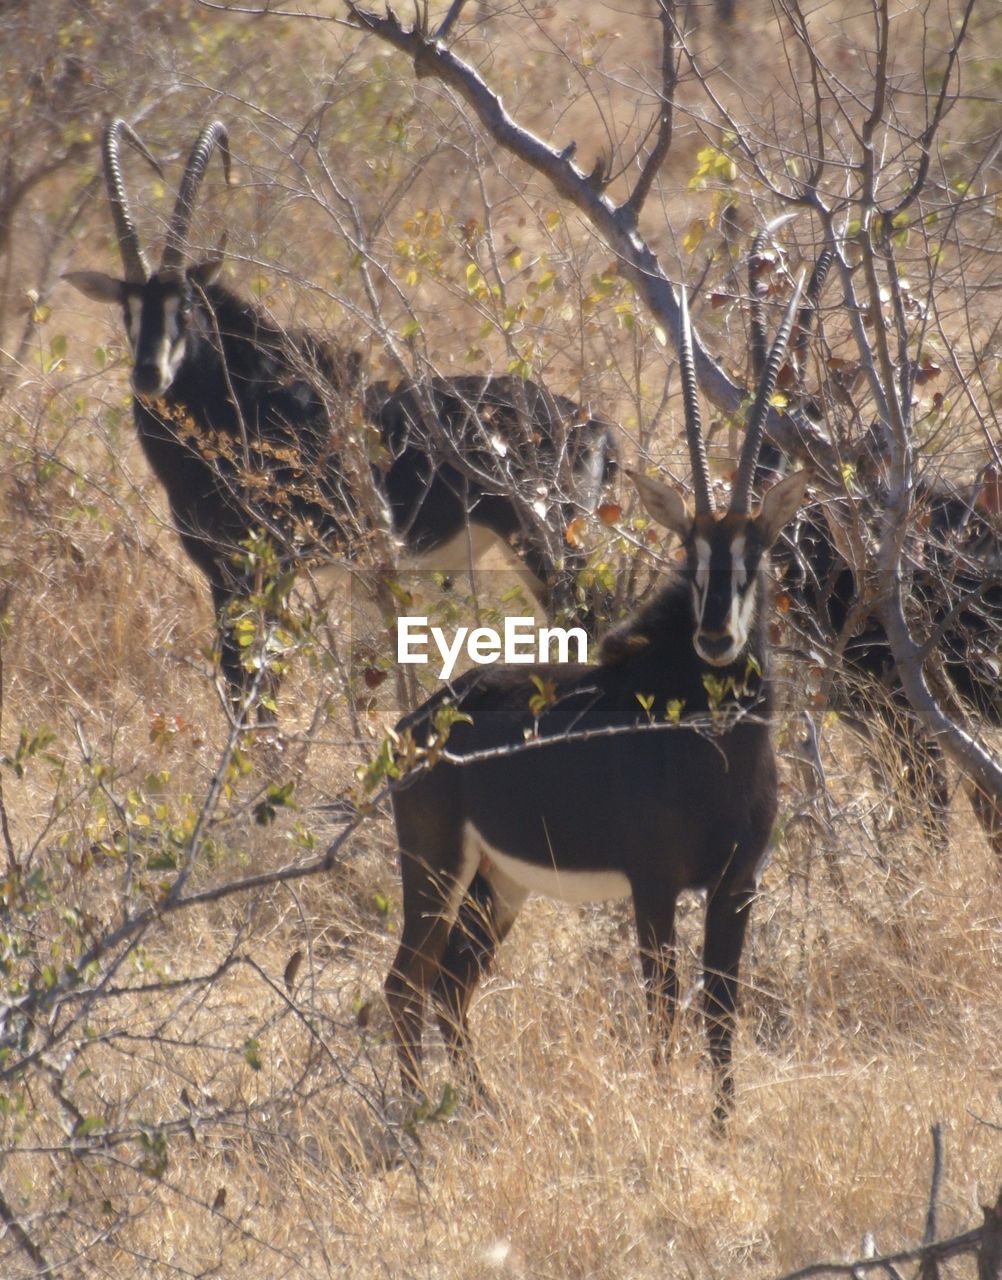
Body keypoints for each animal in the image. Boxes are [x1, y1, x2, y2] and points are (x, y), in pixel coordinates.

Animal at [64, 117, 619, 721]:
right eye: (128, 310)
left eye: (185, 307)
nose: (148, 376)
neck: (240, 402)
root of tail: (587, 424)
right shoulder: (223, 575)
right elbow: (239, 685)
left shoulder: (271, 566)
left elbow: (257, 686)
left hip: (546, 537)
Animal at [381, 280, 808, 1121]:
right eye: (691, 552)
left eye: (758, 551)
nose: (716, 637)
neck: (716, 744)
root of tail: (416, 726)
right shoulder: (653, 886)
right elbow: (663, 1013)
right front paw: (672, 1117)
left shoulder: (737, 885)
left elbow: (720, 1015)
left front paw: (722, 1125)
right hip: (438, 868)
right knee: (406, 985)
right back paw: (416, 1122)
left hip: (497, 883)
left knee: (449, 986)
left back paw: (481, 1112)